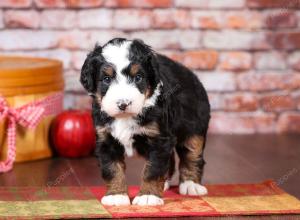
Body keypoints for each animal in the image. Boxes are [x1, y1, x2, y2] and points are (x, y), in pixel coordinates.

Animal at [80, 38, 211, 206]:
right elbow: (112, 168)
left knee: (192, 154)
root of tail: (192, 75)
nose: (123, 103)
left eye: (138, 77)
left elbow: (153, 169)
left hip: (194, 128)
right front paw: (116, 195)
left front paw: (148, 196)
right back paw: (166, 183)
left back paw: (191, 185)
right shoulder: (106, 138)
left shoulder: (159, 138)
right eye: (107, 79)